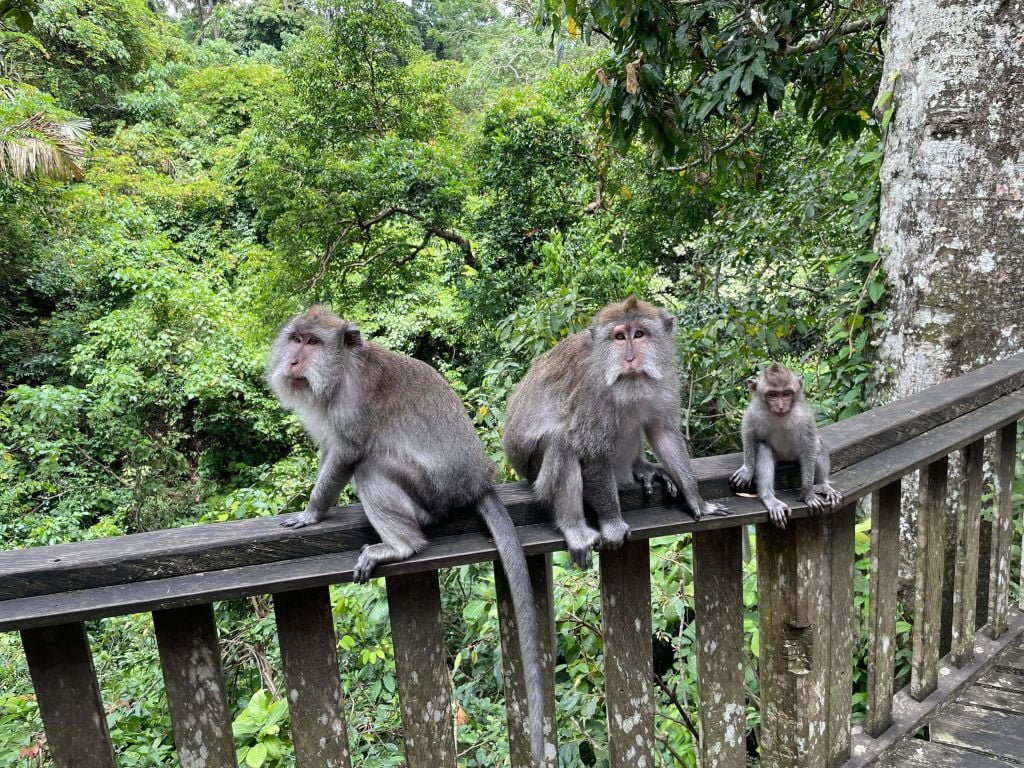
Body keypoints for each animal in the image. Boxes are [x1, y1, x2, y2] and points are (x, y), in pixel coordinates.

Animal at [266, 306, 546, 766]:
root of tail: (477, 483)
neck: (342, 370)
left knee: (371, 466)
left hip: (430, 490)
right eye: (295, 339)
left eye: (313, 343)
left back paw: (400, 546)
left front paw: (311, 513)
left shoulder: (351, 406)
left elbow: (346, 454)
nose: (293, 361)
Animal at [502, 297, 730, 568]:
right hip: (531, 470)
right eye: (620, 337)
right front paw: (612, 524)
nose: (630, 358)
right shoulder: (591, 390)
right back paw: (574, 527)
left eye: (639, 334)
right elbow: (593, 451)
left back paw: (640, 468)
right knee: (561, 442)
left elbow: (662, 432)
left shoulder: (664, 378)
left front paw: (696, 499)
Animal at [729, 362, 843, 528]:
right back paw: (769, 498)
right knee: (763, 448)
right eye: (773, 395)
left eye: (787, 393)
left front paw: (807, 493)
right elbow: (748, 433)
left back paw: (823, 485)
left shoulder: (805, 415)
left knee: (817, 444)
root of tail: (786, 458)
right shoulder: (754, 411)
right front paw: (747, 470)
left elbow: (809, 444)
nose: (781, 406)